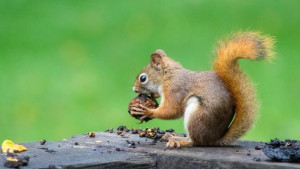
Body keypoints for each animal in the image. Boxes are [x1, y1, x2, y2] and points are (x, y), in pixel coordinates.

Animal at [130, 32, 274, 148]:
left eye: (143, 78)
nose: (134, 89)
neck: (168, 76)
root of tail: (214, 139)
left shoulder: (175, 90)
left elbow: (171, 110)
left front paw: (148, 111)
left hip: (196, 116)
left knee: (195, 141)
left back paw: (179, 142)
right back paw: (172, 136)